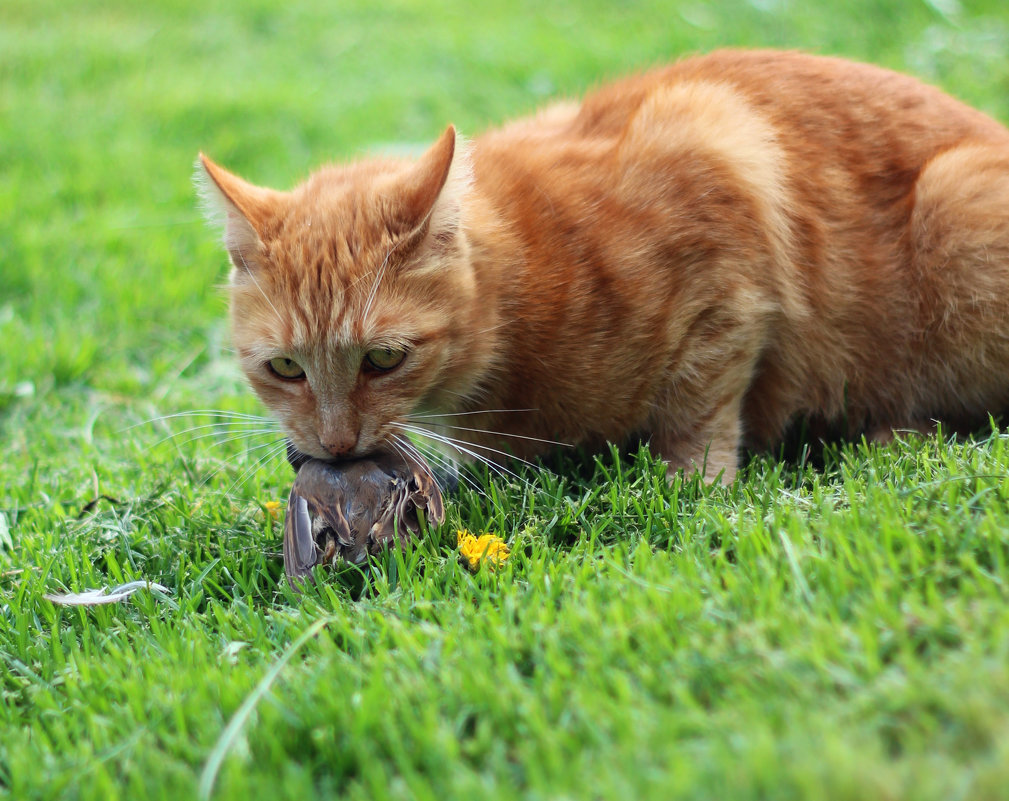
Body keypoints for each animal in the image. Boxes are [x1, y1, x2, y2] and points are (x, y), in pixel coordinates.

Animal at [200, 54, 1008, 486]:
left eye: (383, 358)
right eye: (285, 369)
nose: (335, 446)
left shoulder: (717, 157)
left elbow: (698, 406)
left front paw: (693, 486)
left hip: (955, 208)